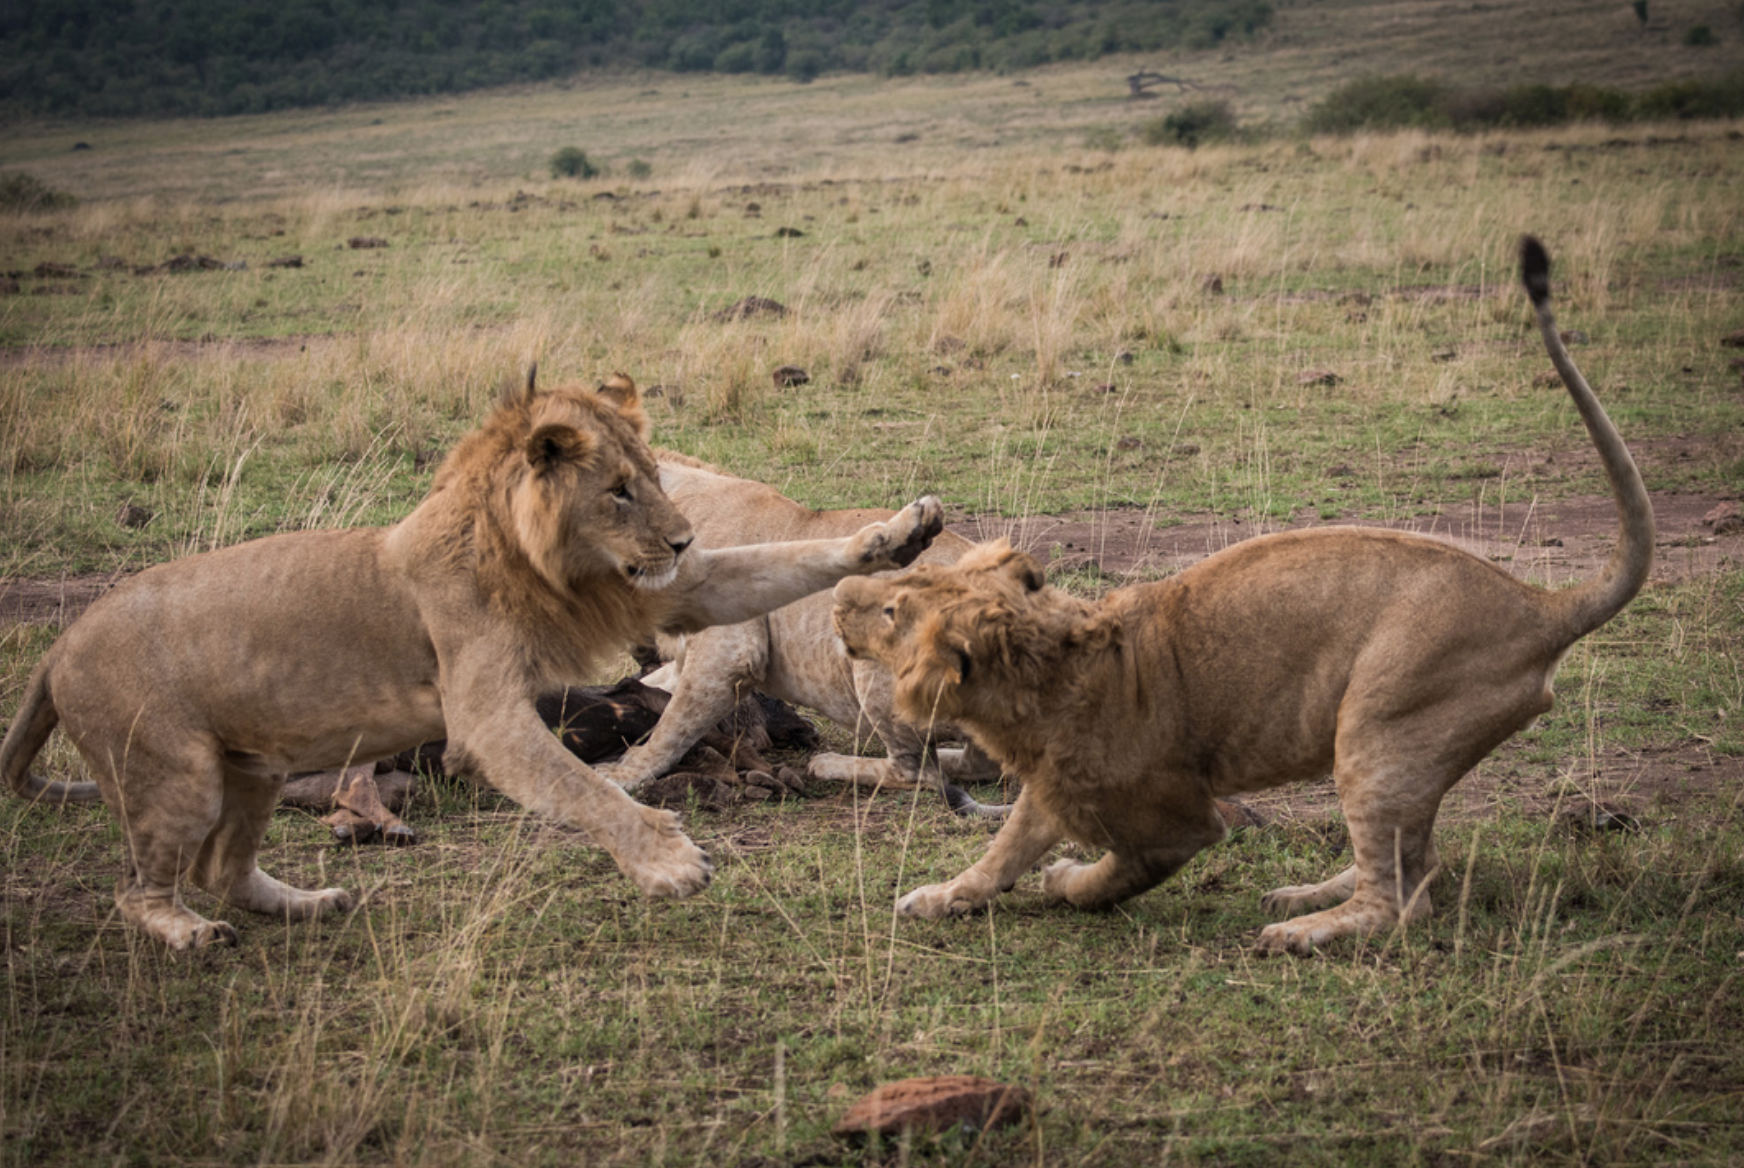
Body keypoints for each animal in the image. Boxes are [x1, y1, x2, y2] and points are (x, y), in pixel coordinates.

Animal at [0, 373, 948, 948]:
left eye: (651, 478)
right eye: (618, 491)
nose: (680, 540)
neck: (542, 561)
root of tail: (59, 647)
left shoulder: (677, 596)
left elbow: (789, 556)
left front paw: (896, 533)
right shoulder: (488, 718)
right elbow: (588, 782)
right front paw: (666, 856)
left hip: (251, 770)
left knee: (221, 868)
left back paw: (308, 901)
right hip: (178, 772)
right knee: (148, 886)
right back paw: (190, 930)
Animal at [830, 240, 1646, 962]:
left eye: (893, 612)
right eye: (901, 589)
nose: (838, 595)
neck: (1046, 665)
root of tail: (1540, 604)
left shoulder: (1180, 823)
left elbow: (1111, 875)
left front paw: (1065, 880)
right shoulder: (1048, 787)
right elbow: (1002, 850)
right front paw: (943, 895)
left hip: (1380, 728)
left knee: (1399, 901)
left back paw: (1301, 930)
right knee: (1418, 863)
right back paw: (1310, 892)